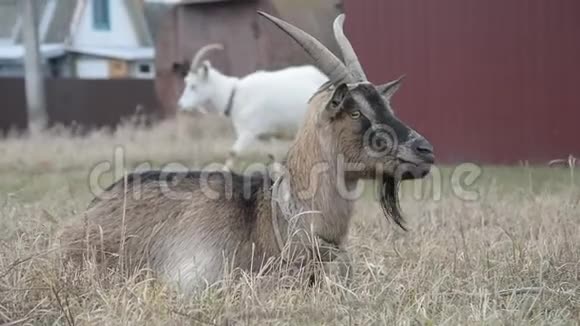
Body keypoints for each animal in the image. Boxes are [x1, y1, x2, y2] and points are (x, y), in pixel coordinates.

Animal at [177, 44, 328, 167]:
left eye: (193, 86)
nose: (181, 105)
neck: (234, 95)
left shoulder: (248, 132)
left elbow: (233, 153)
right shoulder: (265, 137)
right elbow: (273, 158)